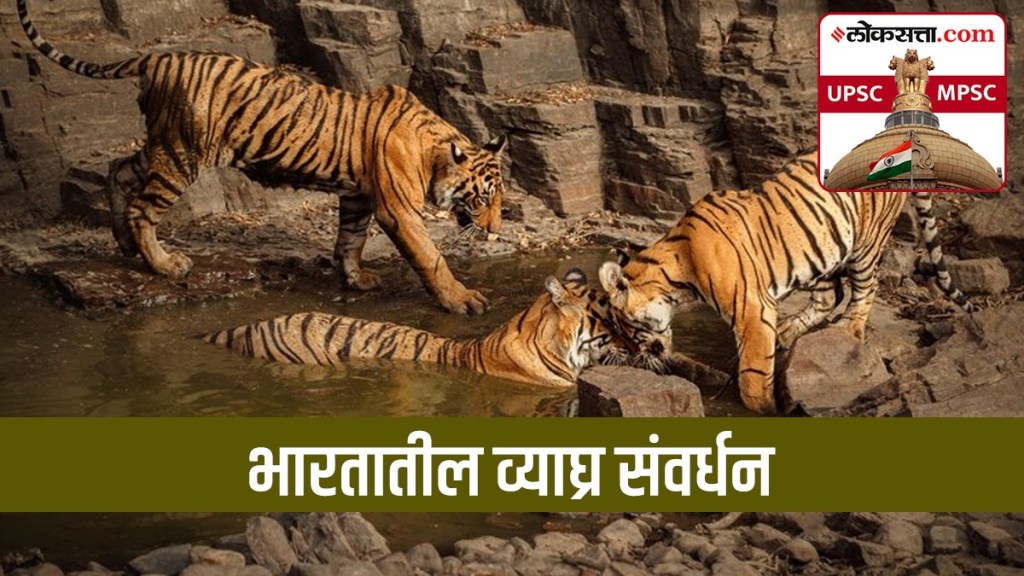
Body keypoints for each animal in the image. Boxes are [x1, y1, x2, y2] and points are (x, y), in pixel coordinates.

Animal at [18, 0, 507, 315]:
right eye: (483, 198)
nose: (495, 231)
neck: (434, 149)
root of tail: (156, 59)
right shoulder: (398, 209)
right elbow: (430, 256)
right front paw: (463, 300)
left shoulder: (357, 195)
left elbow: (350, 239)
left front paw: (355, 279)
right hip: (183, 152)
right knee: (143, 207)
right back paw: (166, 264)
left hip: (163, 144)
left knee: (118, 169)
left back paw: (124, 245)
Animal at [598, 149, 974, 414]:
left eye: (626, 329)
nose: (638, 358)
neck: (676, 274)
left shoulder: (751, 310)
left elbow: (752, 375)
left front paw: (766, 409)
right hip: (821, 252)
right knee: (828, 298)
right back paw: (787, 332)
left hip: (866, 243)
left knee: (864, 291)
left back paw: (848, 331)